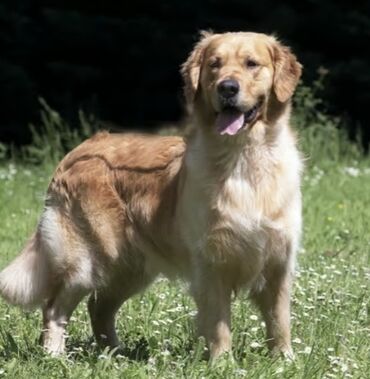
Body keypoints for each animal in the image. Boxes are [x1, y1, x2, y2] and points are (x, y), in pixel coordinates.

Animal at [0, 31, 304, 360]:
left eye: (252, 64)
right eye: (214, 64)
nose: (227, 87)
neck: (244, 157)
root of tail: (79, 150)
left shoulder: (279, 260)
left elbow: (279, 320)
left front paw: (285, 360)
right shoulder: (210, 263)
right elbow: (219, 323)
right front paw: (222, 362)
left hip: (130, 265)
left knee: (99, 306)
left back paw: (115, 354)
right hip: (84, 259)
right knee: (54, 307)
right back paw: (55, 356)